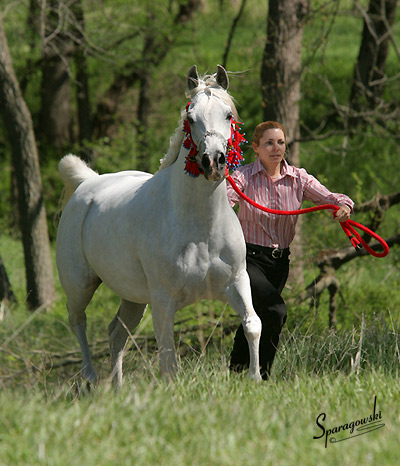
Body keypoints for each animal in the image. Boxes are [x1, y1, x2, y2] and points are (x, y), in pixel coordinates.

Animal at [56, 65, 262, 386]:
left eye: (228, 114)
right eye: (191, 117)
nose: (213, 162)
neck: (200, 227)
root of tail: (86, 183)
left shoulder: (237, 282)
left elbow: (252, 324)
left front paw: (256, 378)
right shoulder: (164, 300)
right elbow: (168, 359)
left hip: (132, 296)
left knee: (116, 333)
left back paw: (117, 388)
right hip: (80, 285)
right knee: (78, 321)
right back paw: (90, 380)